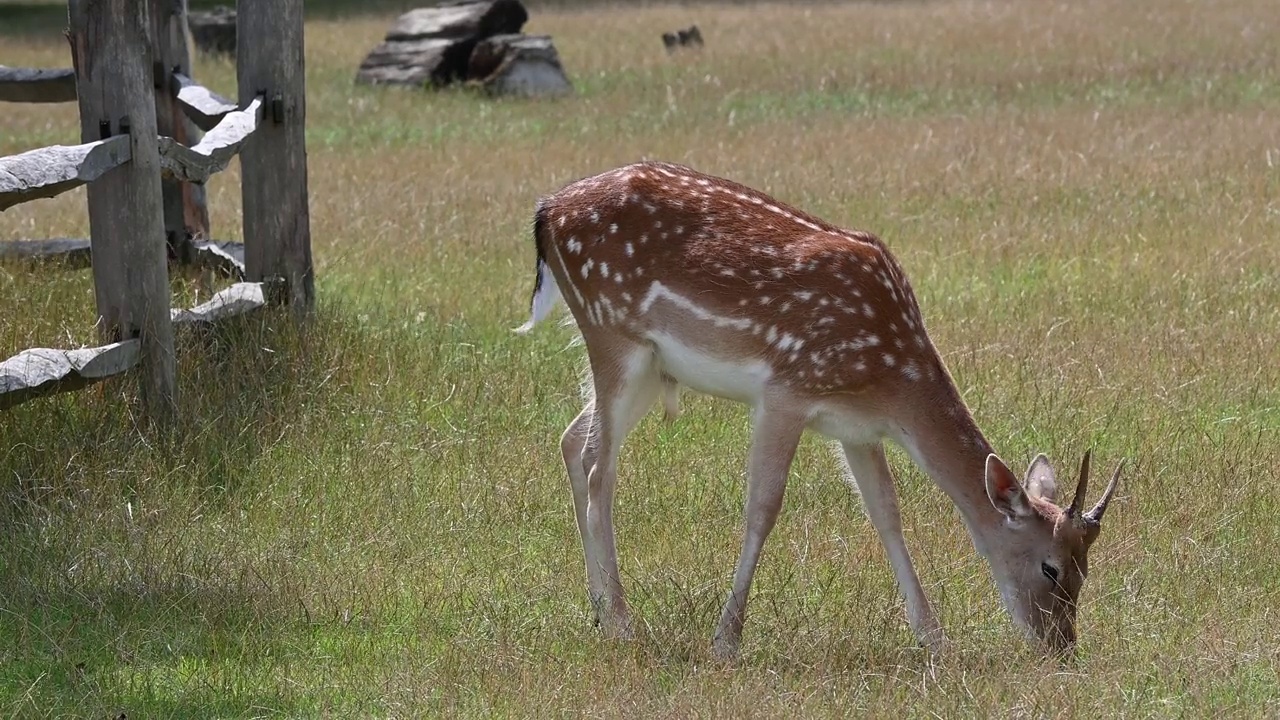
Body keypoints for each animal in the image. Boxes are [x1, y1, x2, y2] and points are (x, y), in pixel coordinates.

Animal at [514, 159, 1126, 661]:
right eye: (1050, 566)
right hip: (612, 332)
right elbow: (762, 508)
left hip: (648, 366)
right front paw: (726, 640)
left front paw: (934, 638)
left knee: (573, 440)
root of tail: (547, 212)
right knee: (600, 467)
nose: (1062, 646)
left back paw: (599, 612)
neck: (890, 379)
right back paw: (623, 622)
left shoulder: (857, 428)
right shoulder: (787, 391)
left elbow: (886, 513)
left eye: (1087, 568)